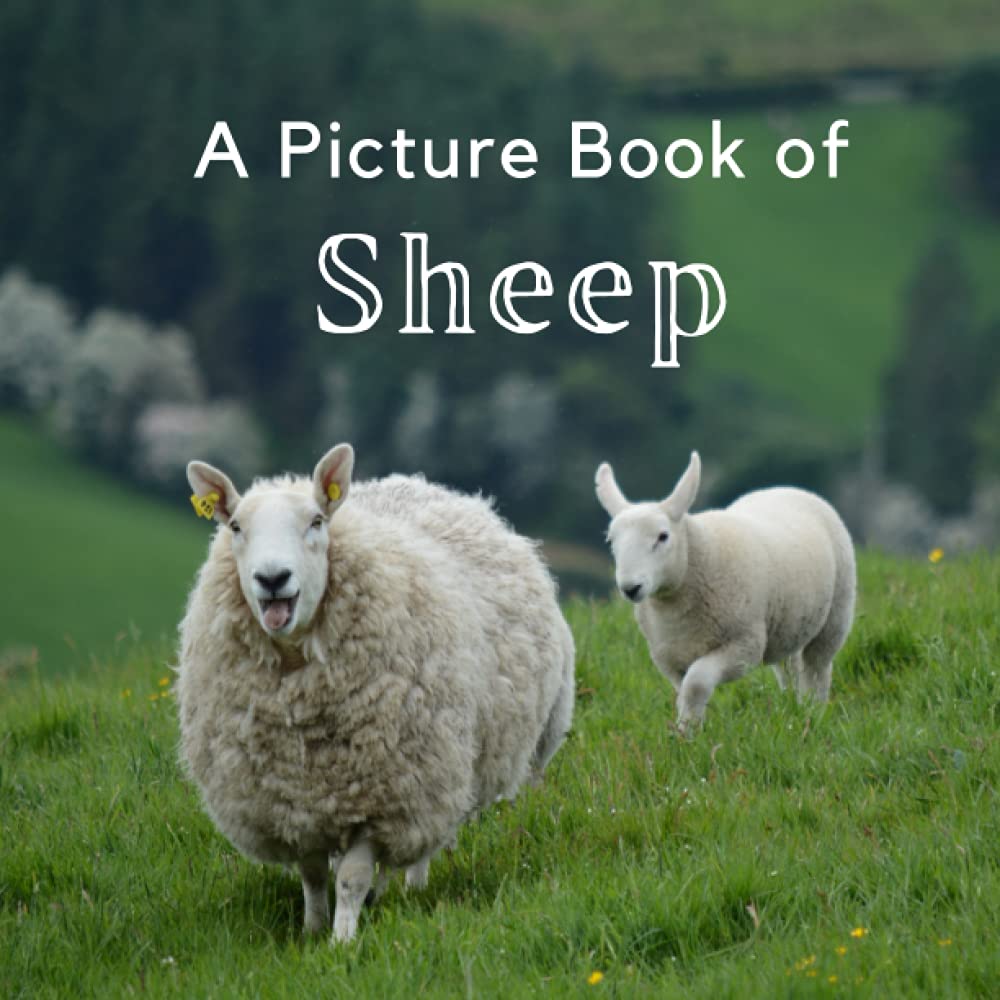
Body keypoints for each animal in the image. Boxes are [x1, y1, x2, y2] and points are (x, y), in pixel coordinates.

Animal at [177, 443, 575, 943]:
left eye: (316, 522)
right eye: (235, 527)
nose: (272, 579)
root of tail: (421, 485)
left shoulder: (383, 794)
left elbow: (351, 876)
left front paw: (342, 941)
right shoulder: (291, 800)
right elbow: (313, 874)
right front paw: (312, 931)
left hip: (444, 768)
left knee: (425, 840)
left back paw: (411, 889)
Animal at [595, 452, 855, 732]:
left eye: (663, 536)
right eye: (611, 541)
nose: (630, 588)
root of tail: (785, 488)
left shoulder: (744, 645)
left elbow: (696, 683)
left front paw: (687, 732)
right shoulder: (669, 659)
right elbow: (684, 692)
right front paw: (687, 730)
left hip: (836, 614)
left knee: (817, 667)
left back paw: (813, 711)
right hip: (790, 622)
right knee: (790, 666)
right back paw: (794, 709)